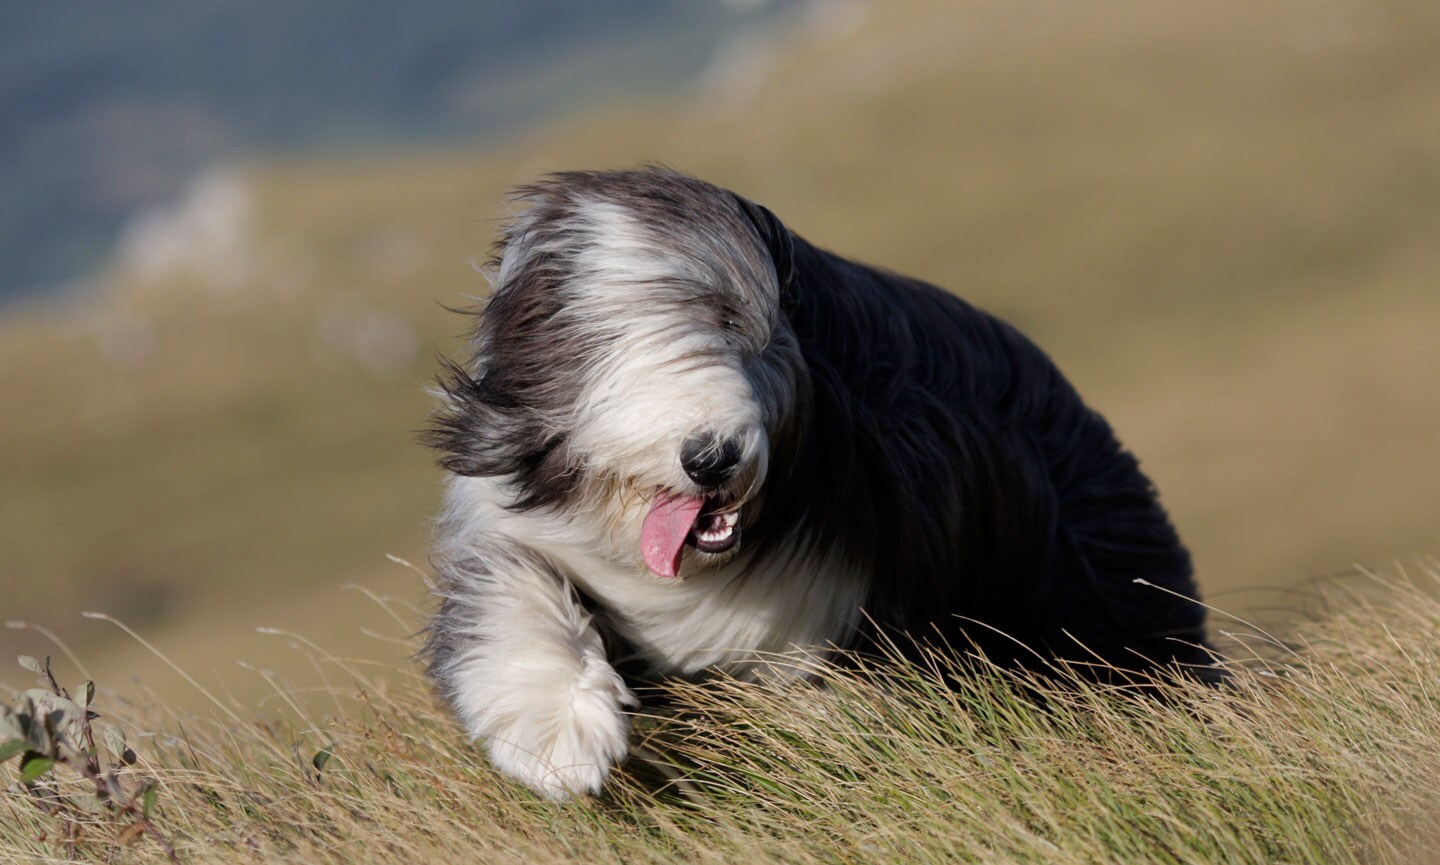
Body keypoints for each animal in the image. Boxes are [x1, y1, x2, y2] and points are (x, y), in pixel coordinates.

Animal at [420, 165, 1215, 800]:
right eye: (608, 344)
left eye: (743, 330)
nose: (712, 455)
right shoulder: (504, 528)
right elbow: (510, 595)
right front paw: (559, 736)